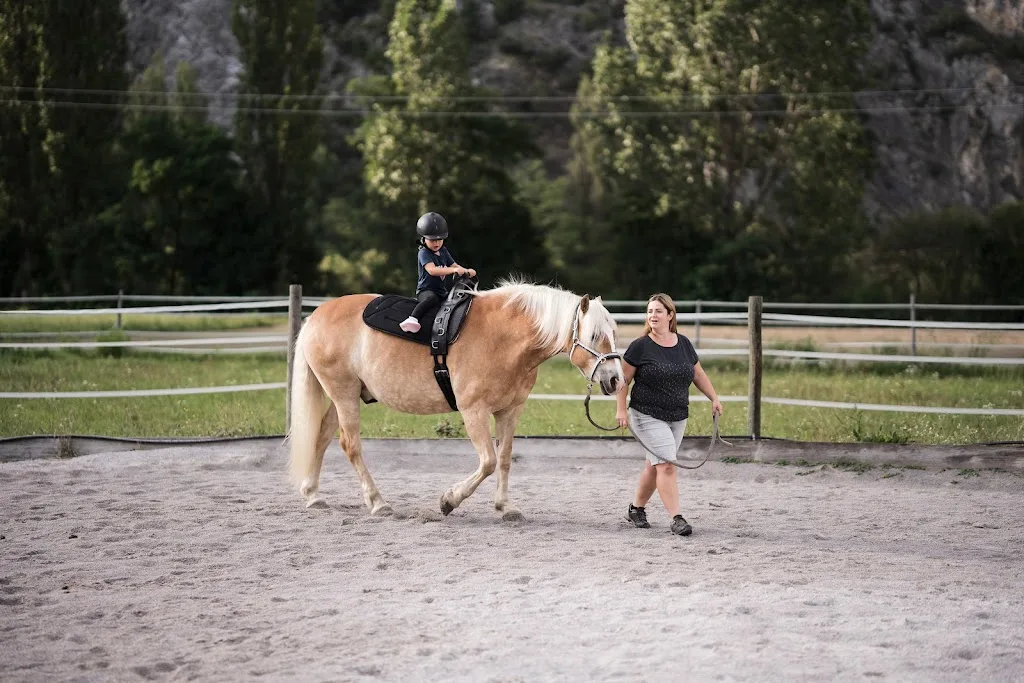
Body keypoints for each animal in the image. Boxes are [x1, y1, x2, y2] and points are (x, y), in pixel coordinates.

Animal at [287, 279, 624, 521]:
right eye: (594, 336)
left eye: (613, 333)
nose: (616, 380)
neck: (504, 338)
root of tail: (316, 316)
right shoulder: (473, 411)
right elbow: (488, 462)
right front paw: (449, 500)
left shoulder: (510, 411)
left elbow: (504, 459)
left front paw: (505, 507)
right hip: (343, 395)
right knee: (350, 445)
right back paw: (378, 502)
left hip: (343, 396)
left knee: (322, 437)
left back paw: (313, 495)